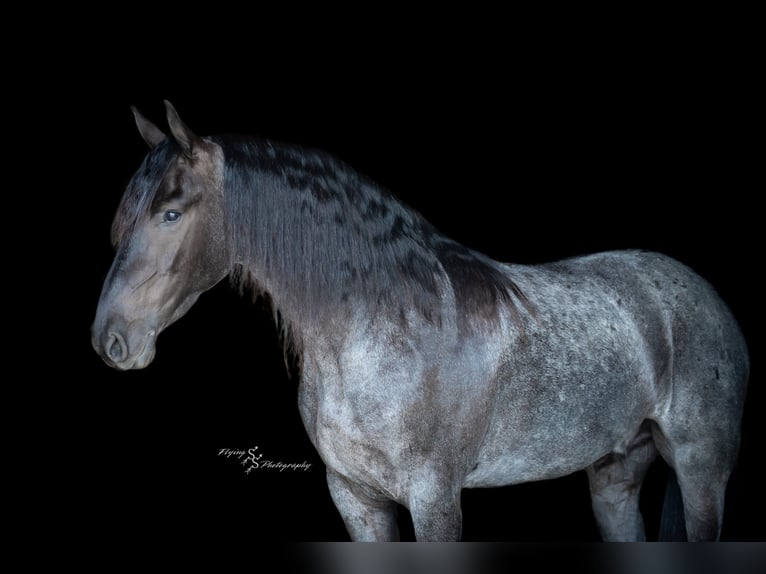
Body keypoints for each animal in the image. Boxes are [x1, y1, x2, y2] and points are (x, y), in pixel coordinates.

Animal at [92, 101, 749, 541]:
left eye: (171, 213)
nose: (110, 340)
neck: (385, 334)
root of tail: (707, 299)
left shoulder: (435, 500)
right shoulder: (355, 499)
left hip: (701, 470)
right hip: (615, 473)